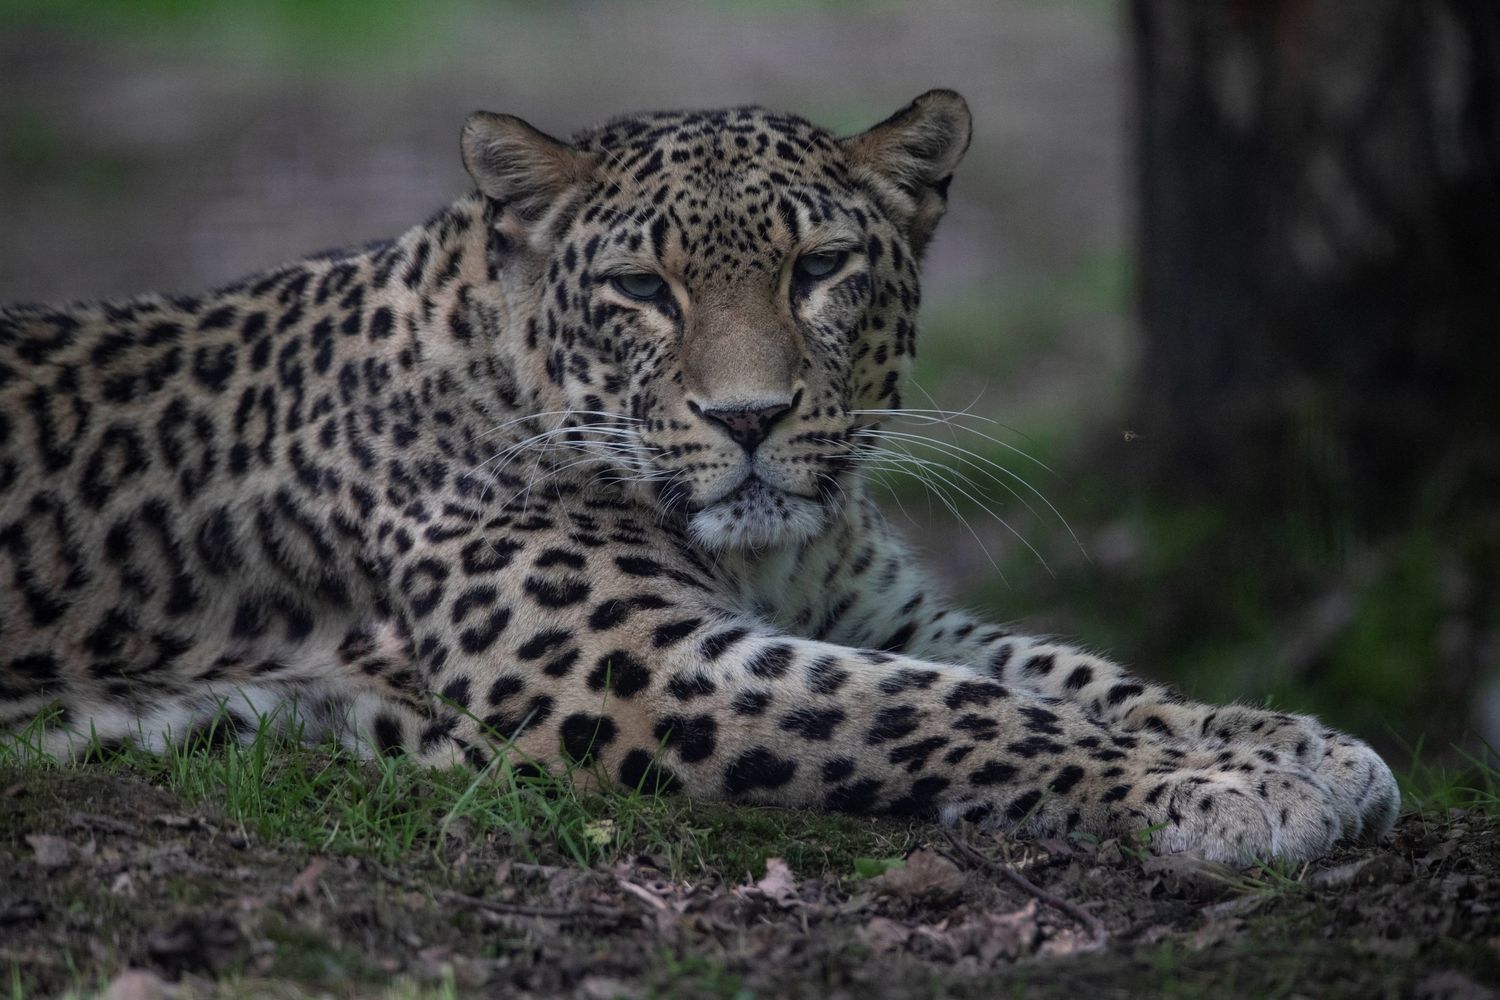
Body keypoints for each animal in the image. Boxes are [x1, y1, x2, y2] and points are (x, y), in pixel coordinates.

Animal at [0, 90, 1399, 863]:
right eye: (642, 289)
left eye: (818, 268)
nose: (750, 418)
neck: (767, 555)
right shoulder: (632, 662)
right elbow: (950, 709)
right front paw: (1227, 791)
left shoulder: (875, 609)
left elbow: (1068, 672)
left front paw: (1299, 744)